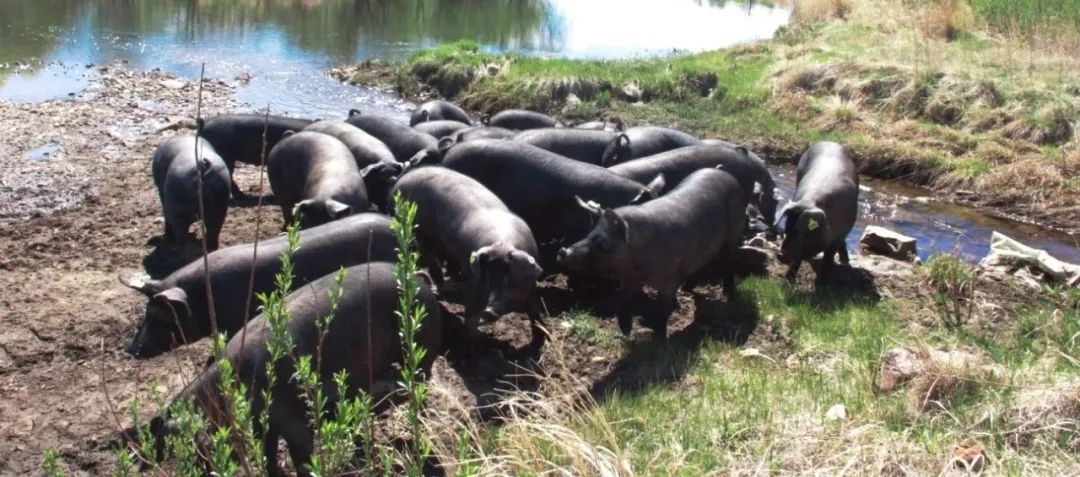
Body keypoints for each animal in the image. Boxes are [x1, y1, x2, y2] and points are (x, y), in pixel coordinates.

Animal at [552, 167, 747, 338]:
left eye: (603, 243)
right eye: (588, 234)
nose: (563, 251)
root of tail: (723, 172)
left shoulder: (669, 281)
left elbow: (661, 312)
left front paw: (660, 339)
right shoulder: (630, 280)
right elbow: (623, 305)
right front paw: (625, 335)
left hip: (734, 230)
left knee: (729, 262)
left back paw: (729, 294)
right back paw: (688, 288)